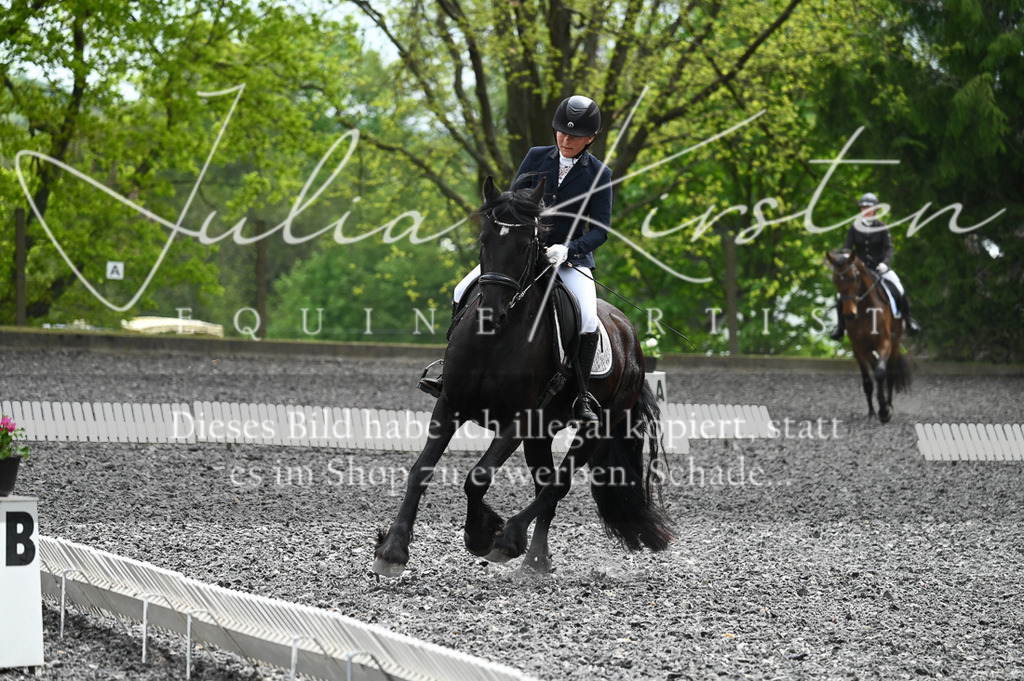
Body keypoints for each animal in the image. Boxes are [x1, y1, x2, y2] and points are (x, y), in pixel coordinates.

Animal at [373, 176, 673, 576]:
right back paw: (536, 559)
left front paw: (482, 534)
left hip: (596, 427)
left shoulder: (519, 420)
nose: (490, 314)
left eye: (525, 244)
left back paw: (512, 540)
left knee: (557, 485)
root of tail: (630, 333)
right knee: (544, 484)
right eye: (484, 239)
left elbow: (479, 476)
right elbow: (421, 469)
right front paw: (393, 549)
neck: (495, 340)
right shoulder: (450, 405)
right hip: (541, 434)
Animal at [826, 249, 911, 423]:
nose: (849, 314)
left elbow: (880, 373)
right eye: (836, 280)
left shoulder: (885, 342)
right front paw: (873, 411)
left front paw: (885, 410)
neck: (865, 310)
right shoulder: (858, 348)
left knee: (889, 375)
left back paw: (889, 404)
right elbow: (867, 381)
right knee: (875, 368)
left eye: (854, 277)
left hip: (895, 344)